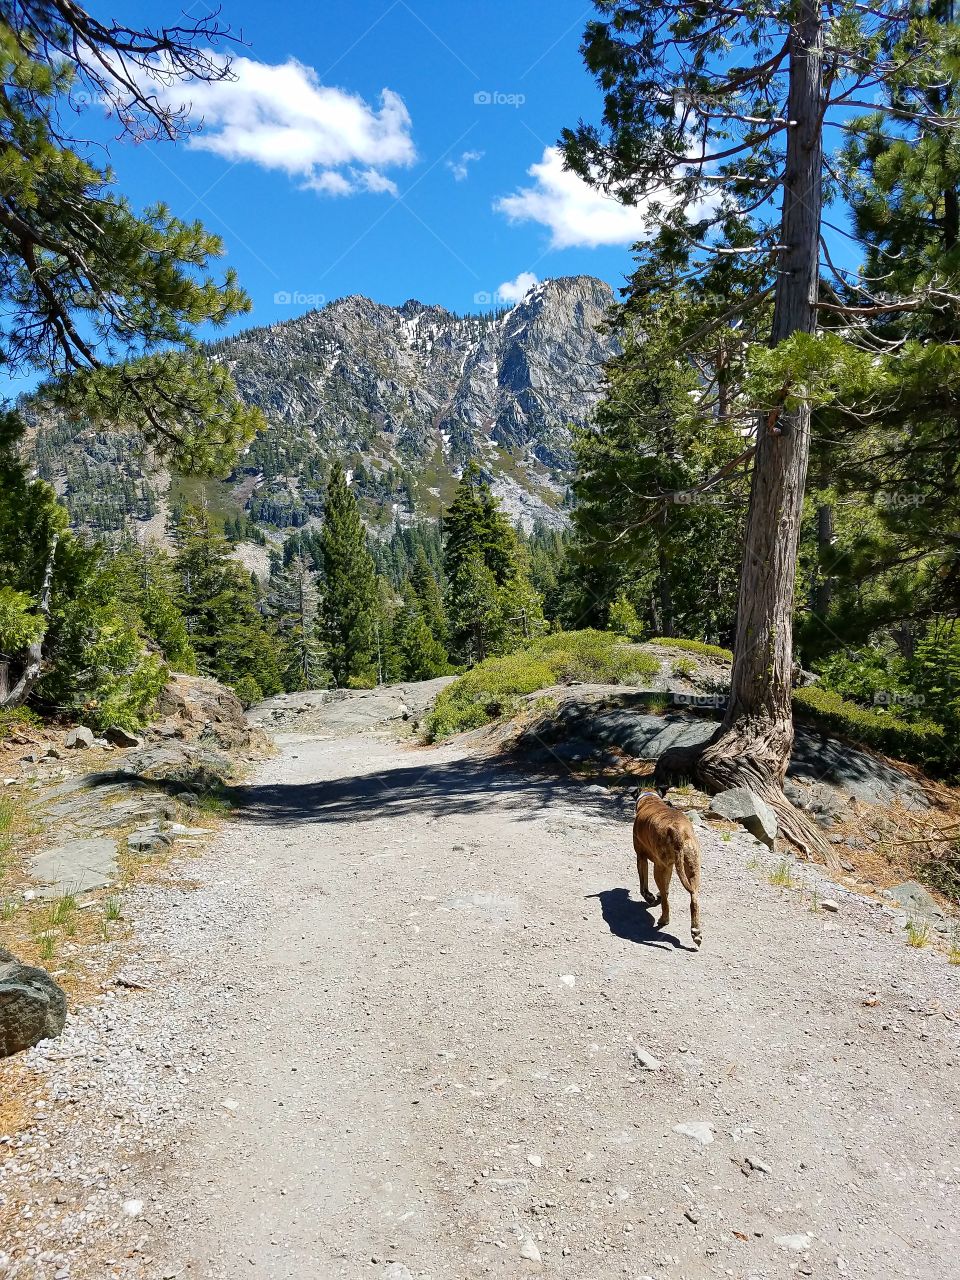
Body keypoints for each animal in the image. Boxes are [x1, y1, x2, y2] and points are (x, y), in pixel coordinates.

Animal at [634, 788, 701, 952]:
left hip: (658, 868)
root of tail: (677, 831)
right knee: (694, 899)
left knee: (665, 901)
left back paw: (664, 919)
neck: (650, 800)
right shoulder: (669, 868)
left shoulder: (641, 858)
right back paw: (696, 931)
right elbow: (667, 885)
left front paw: (650, 897)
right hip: (693, 869)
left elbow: (643, 886)